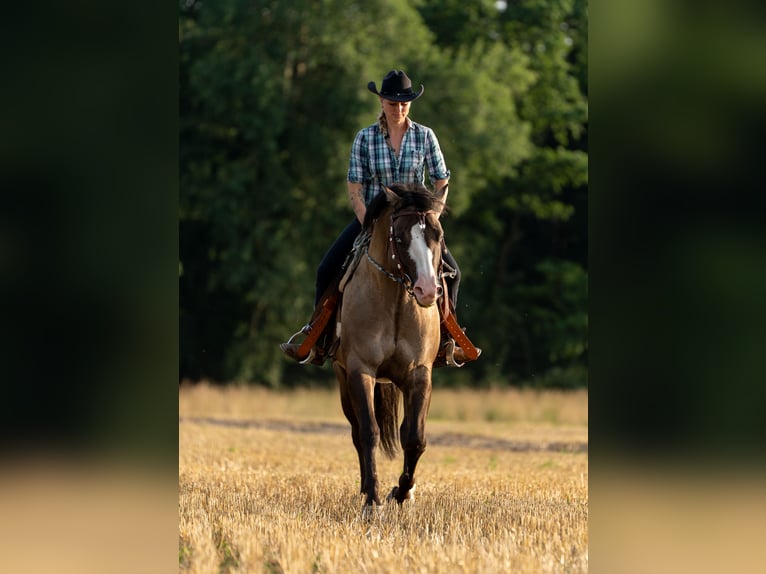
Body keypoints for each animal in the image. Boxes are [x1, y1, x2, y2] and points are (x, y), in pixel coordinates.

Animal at [332, 182, 448, 509]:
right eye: (400, 236)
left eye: (439, 235)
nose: (426, 290)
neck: (396, 303)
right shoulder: (360, 371)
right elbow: (369, 432)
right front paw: (372, 499)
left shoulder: (419, 374)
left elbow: (414, 437)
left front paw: (402, 491)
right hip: (343, 378)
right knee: (357, 431)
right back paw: (363, 489)